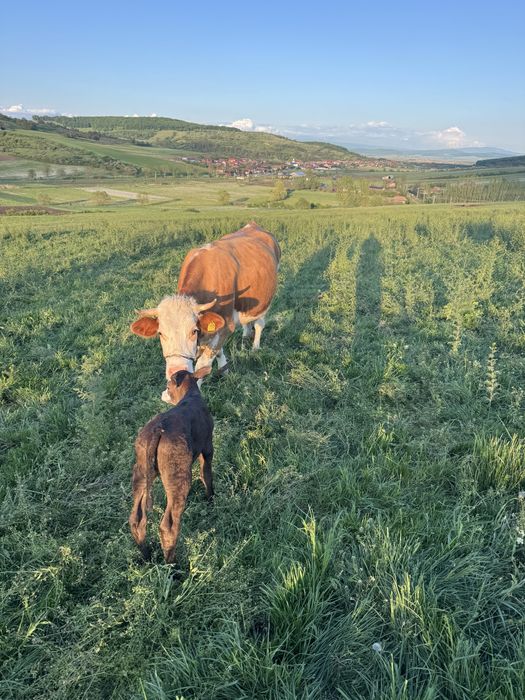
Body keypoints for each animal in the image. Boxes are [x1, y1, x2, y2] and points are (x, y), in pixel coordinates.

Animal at [130, 222, 280, 393]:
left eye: (193, 331)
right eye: (161, 333)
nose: (176, 371)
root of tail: (253, 225)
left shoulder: (225, 325)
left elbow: (202, 366)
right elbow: (218, 352)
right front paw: (224, 370)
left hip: (266, 300)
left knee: (260, 324)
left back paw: (255, 348)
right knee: (247, 322)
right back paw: (245, 337)